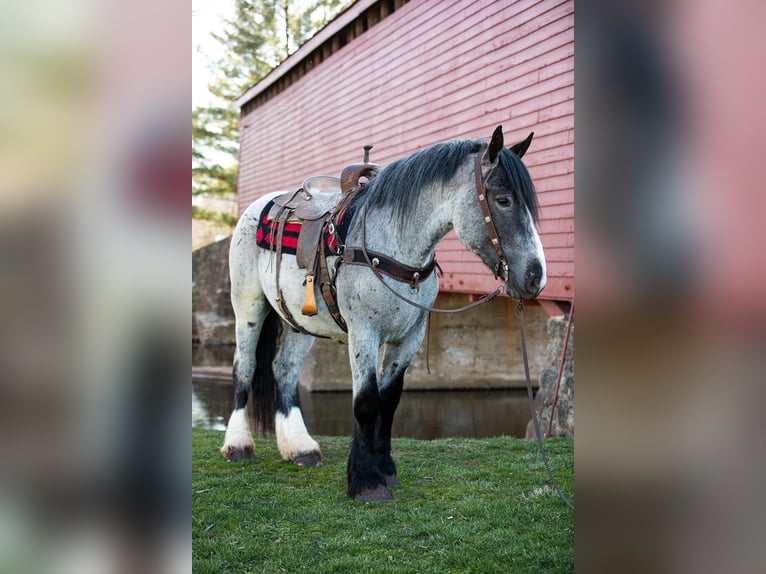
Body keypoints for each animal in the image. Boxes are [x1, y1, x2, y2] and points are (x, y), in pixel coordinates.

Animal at [219, 126, 548, 504]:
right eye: (503, 199)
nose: (536, 276)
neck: (392, 246)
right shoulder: (364, 333)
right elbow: (366, 402)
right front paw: (367, 481)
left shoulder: (409, 337)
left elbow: (389, 401)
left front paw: (386, 469)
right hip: (248, 305)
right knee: (244, 368)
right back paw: (238, 445)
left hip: (300, 323)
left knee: (284, 369)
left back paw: (300, 448)